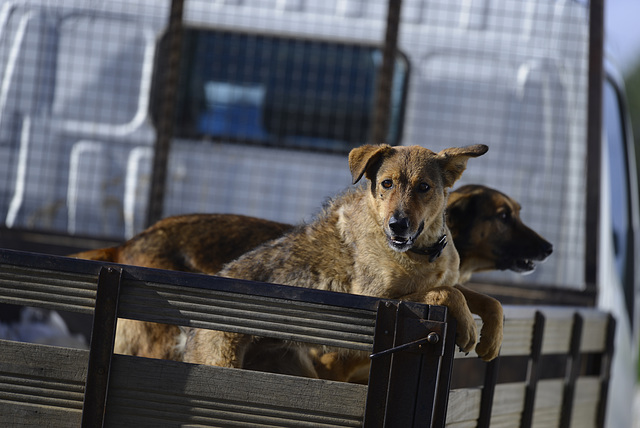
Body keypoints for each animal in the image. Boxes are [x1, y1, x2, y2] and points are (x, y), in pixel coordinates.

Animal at [178, 143, 502, 372]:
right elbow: (445, 292)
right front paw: (469, 326)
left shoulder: (449, 280)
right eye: (386, 183)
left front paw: (492, 340)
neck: (421, 252)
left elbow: (489, 300)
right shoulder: (375, 300)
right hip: (220, 362)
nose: (397, 225)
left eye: (424, 187)